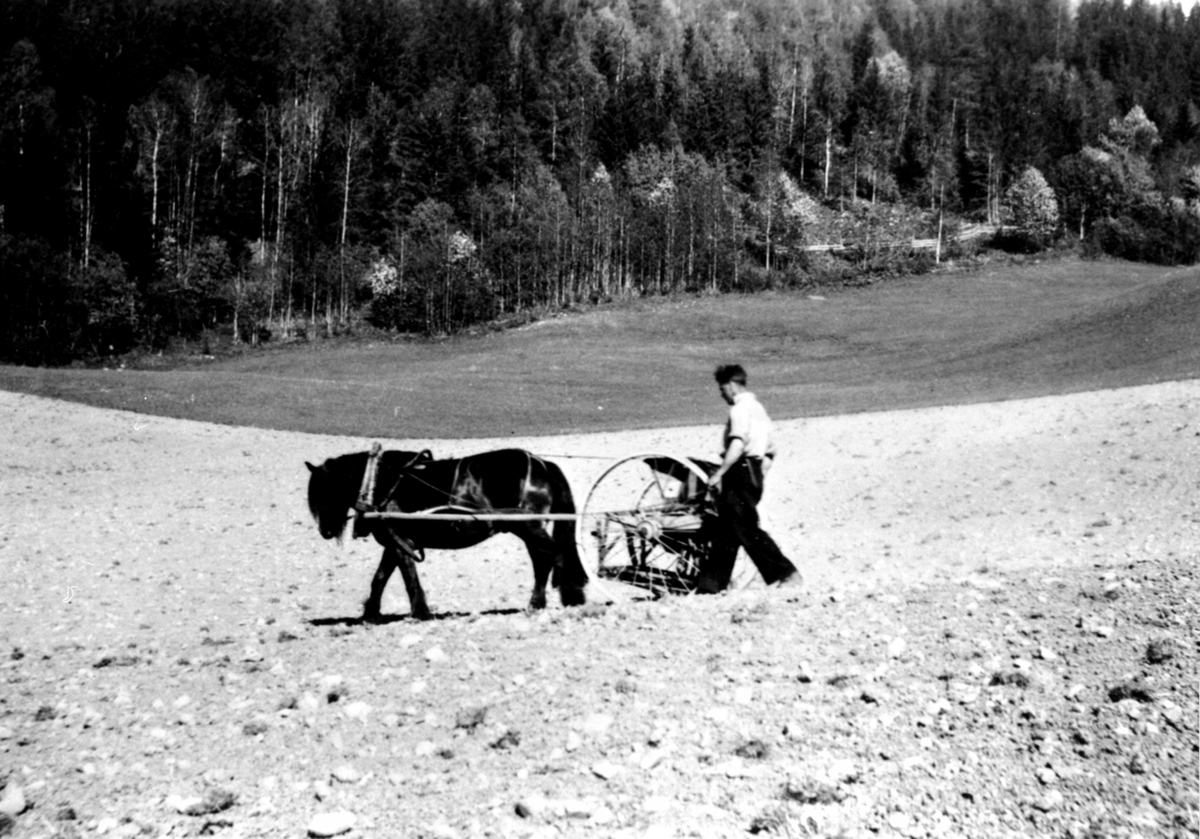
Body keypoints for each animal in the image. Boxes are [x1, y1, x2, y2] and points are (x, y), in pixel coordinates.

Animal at [304, 446, 585, 624]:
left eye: (329, 491)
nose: (325, 531)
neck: (383, 481)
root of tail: (542, 464)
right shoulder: (395, 542)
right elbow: (381, 577)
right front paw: (370, 614)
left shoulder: (401, 541)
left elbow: (408, 578)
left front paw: (421, 613)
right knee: (548, 557)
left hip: (527, 526)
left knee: (546, 558)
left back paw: (543, 602)